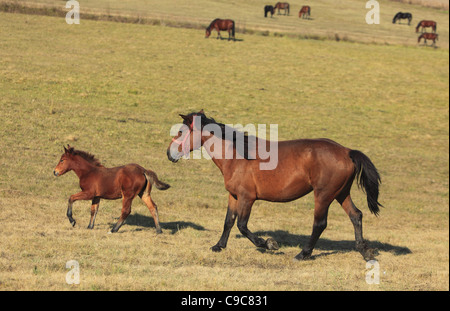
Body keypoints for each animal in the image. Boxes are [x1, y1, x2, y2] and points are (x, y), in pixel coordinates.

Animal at [166, 111, 384, 262]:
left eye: (180, 131)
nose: (169, 153)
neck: (237, 156)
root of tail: (347, 151)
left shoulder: (247, 198)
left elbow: (242, 225)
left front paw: (268, 243)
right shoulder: (233, 196)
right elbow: (228, 221)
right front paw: (219, 246)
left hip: (323, 195)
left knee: (320, 224)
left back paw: (303, 254)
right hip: (341, 193)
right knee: (356, 215)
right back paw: (365, 251)